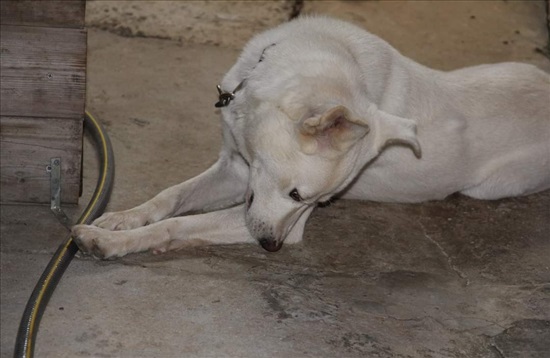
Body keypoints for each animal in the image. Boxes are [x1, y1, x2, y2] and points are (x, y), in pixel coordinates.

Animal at [74, 16, 550, 258]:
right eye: (298, 195)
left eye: (315, 203)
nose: (272, 247)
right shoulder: (236, 168)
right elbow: (171, 196)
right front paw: (123, 219)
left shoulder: (261, 210)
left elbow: (178, 224)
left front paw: (111, 242)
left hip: (491, 187)